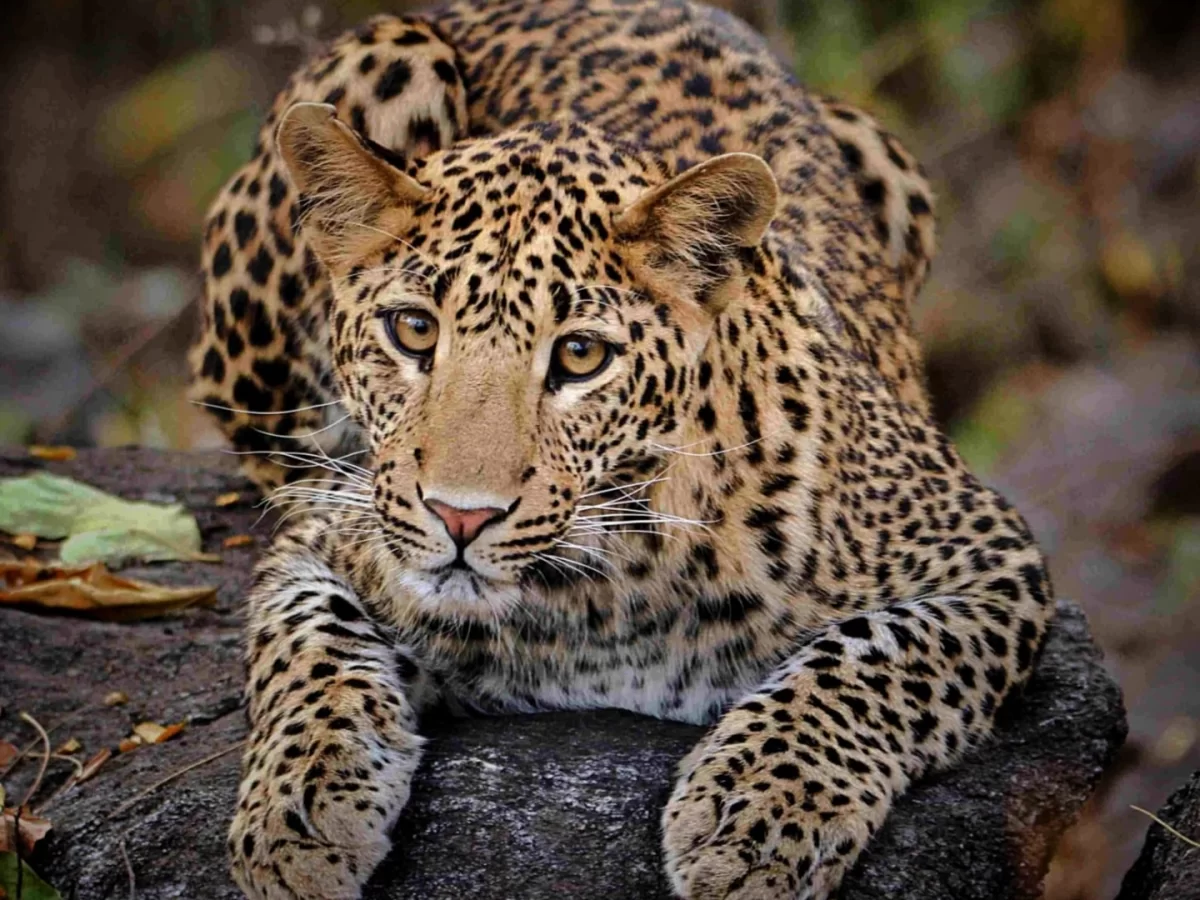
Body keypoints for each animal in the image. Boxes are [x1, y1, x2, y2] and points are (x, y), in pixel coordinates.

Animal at [188, 1, 1055, 898]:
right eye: (414, 329)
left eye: (579, 355)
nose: (461, 518)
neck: (599, 594)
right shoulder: (327, 533)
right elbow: (308, 645)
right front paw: (301, 808)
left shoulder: (991, 555)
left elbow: (869, 659)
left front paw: (759, 815)